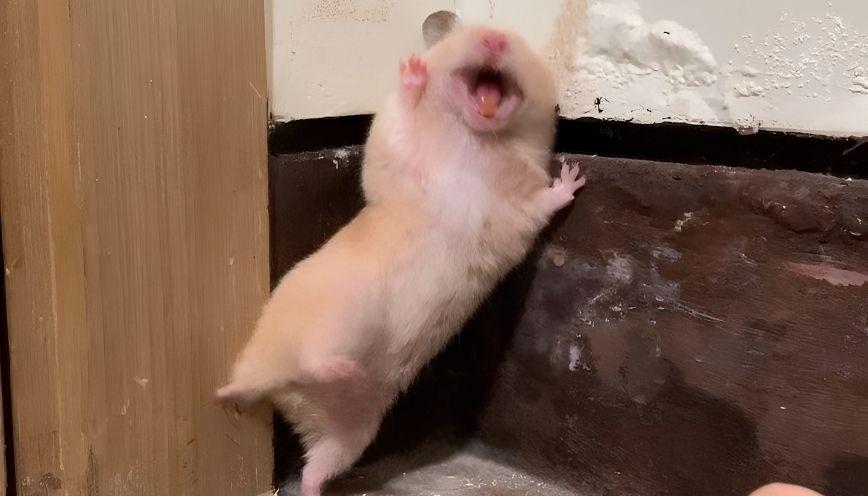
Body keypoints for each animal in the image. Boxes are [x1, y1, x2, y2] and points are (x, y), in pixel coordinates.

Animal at [217, 11, 586, 496]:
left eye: (518, 41)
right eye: (470, 33)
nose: (494, 38)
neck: (479, 138)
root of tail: (272, 379)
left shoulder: (520, 211)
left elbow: (544, 201)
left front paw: (573, 175)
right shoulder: (397, 161)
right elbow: (394, 125)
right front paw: (413, 68)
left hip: (351, 432)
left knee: (318, 454)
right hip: (349, 312)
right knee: (312, 357)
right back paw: (332, 371)